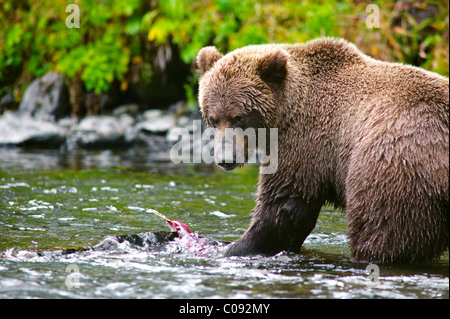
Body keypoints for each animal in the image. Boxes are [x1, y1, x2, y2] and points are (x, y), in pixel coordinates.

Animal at [197, 38, 450, 264]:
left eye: (239, 117)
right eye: (213, 118)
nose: (225, 159)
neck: (285, 114)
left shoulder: (305, 142)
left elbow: (282, 208)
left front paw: (231, 247)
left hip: (394, 164)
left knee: (383, 229)